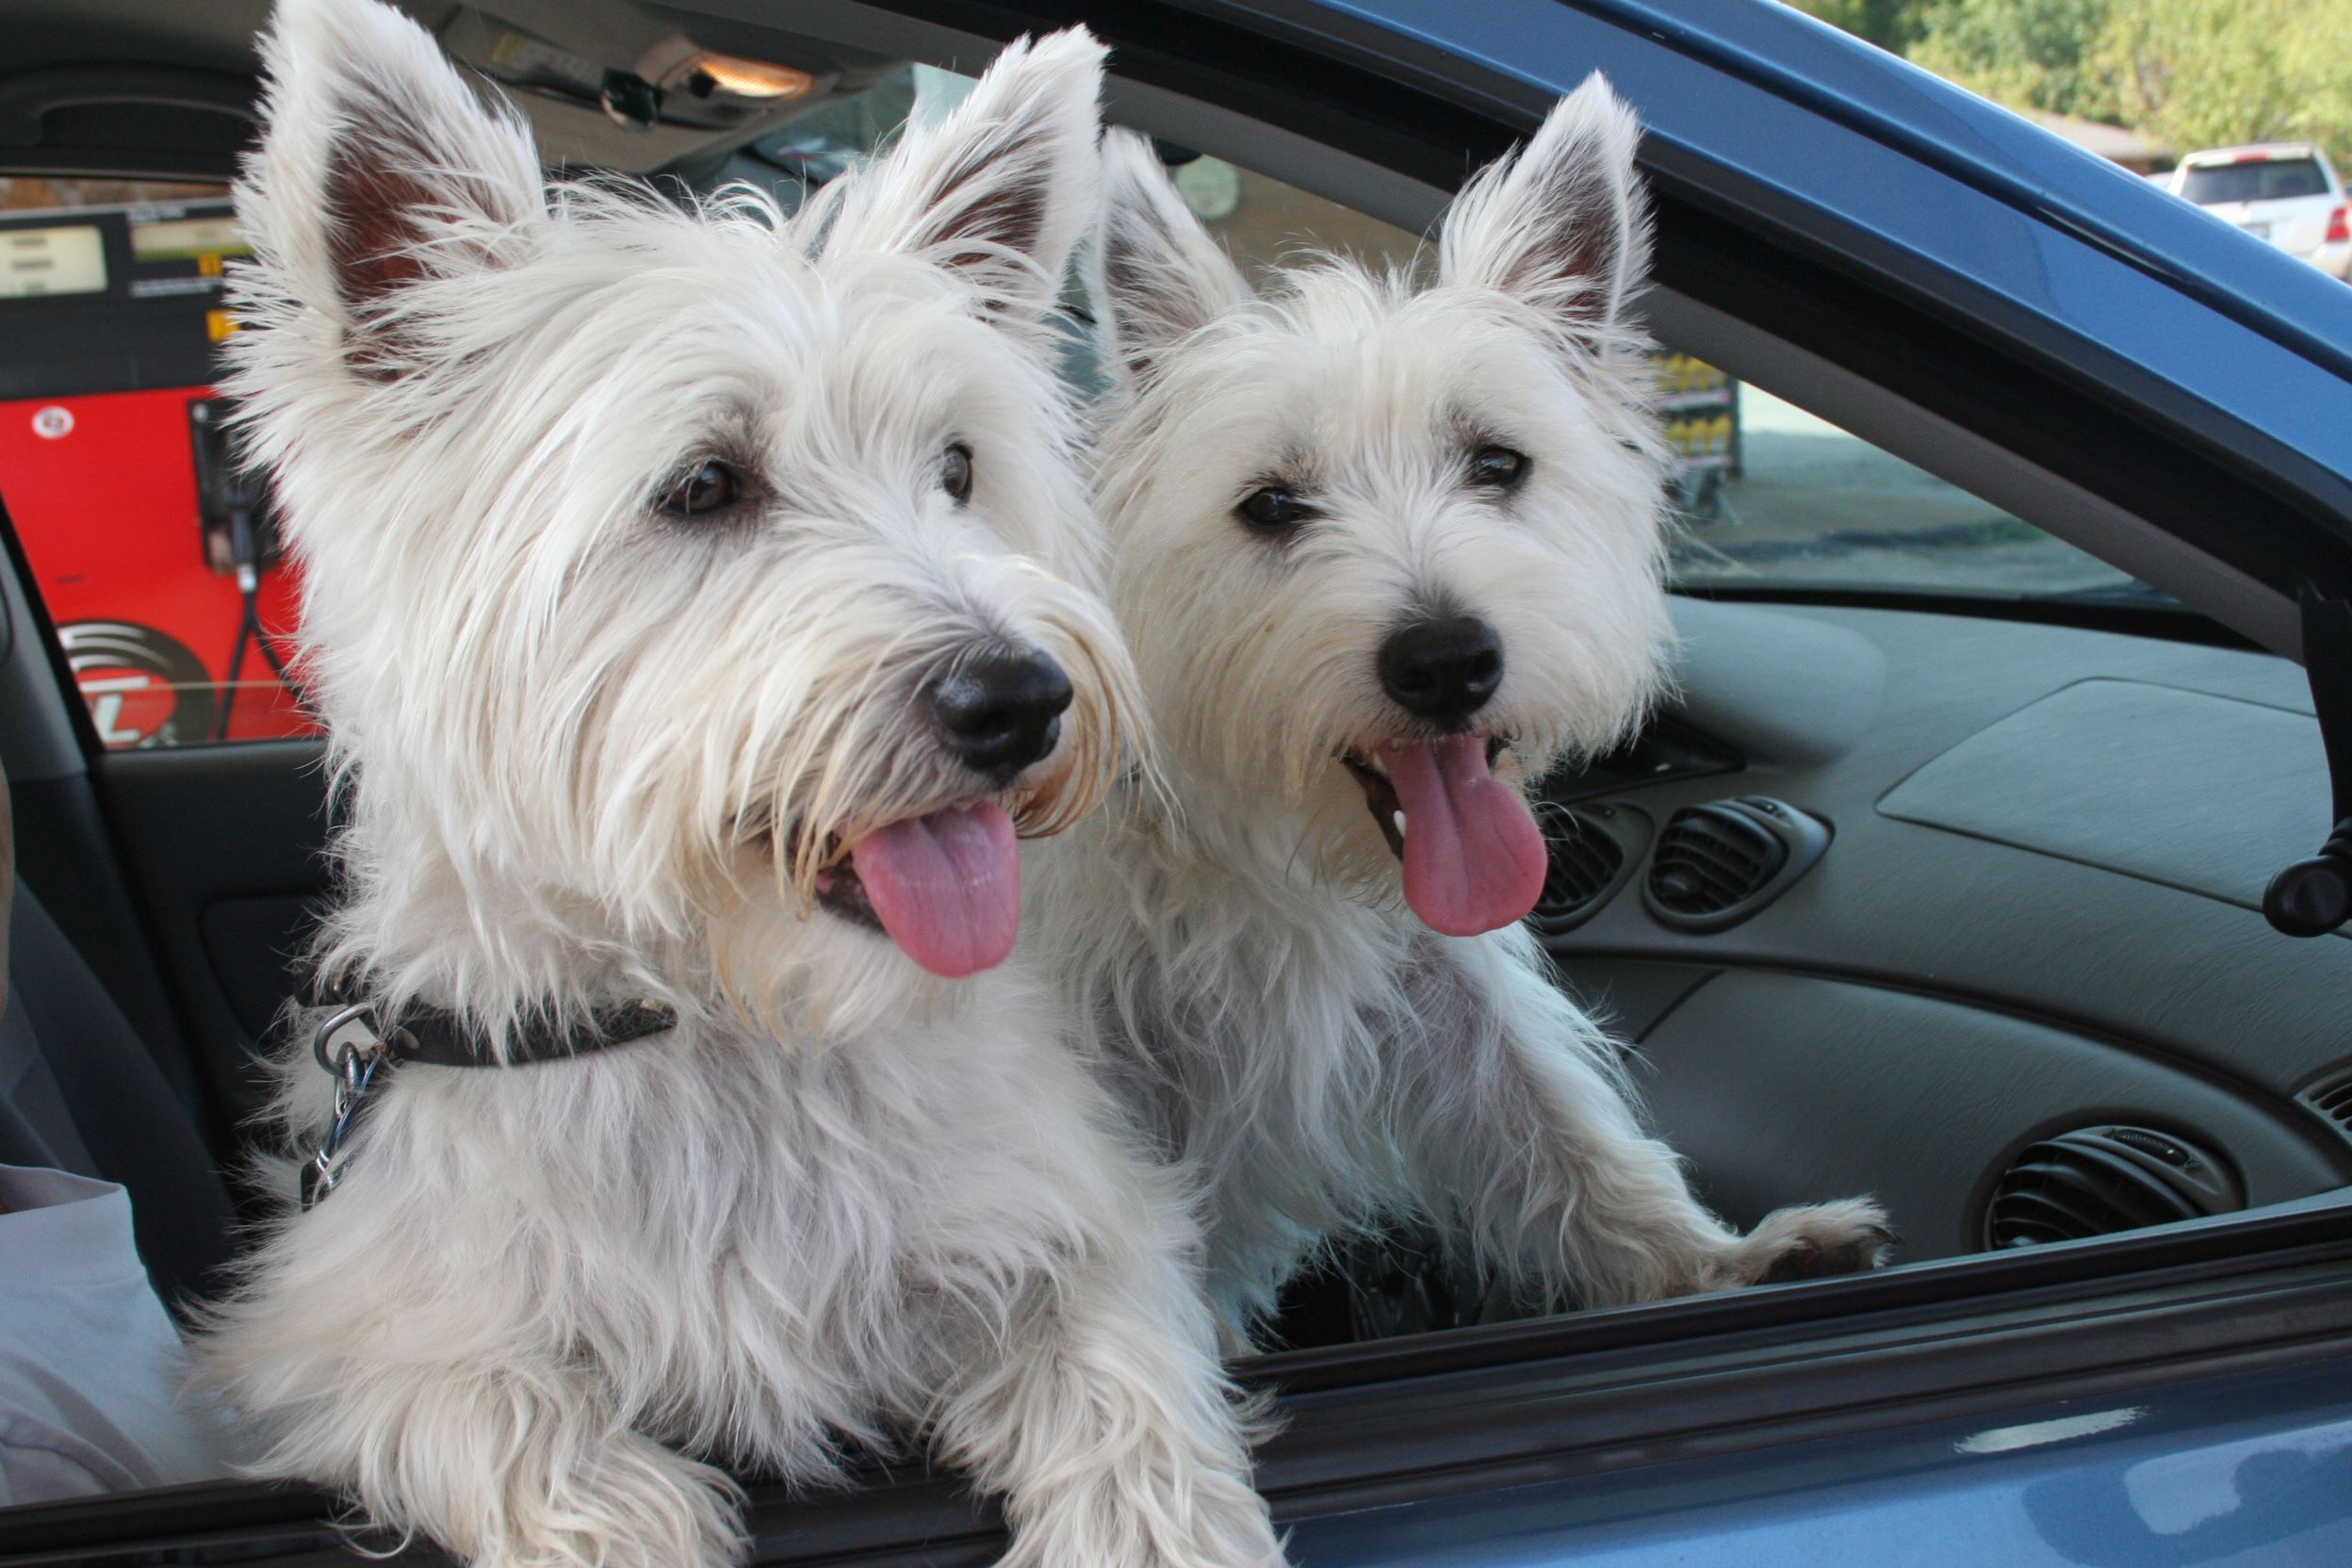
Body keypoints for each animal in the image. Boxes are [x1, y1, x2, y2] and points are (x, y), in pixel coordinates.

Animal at [200, 3, 1288, 1568]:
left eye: (957, 466)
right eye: (703, 485)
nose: (1022, 700)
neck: (732, 1039)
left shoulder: (1075, 1224)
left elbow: (1126, 1383)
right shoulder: (334, 1334)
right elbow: (511, 1421)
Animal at [1035, 76, 1890, 1353]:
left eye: (1497, 462)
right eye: (1271, 505)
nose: (1446, 661)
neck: (1270, 857)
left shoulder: (1440, 982)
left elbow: (1555, 1120)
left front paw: (1718, 1261)